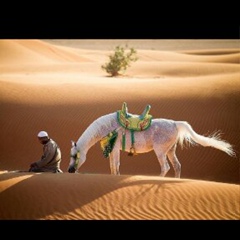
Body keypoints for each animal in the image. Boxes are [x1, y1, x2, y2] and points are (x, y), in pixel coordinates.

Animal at [67, 109, 234, 177]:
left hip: (160, 152)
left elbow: (115, 164)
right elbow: (113, 165)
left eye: (75, 156)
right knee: (177, 166)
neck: (105, 127)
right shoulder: (113, 149)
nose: (69, 170)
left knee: (165, 167)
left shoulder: (114, 148)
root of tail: (175, 124)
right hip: (170, 151)